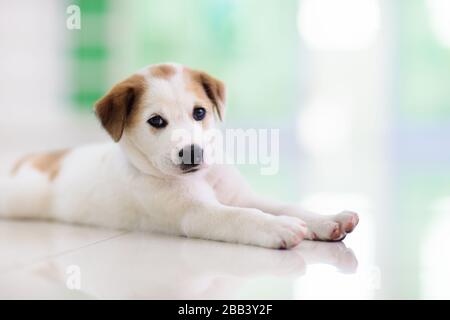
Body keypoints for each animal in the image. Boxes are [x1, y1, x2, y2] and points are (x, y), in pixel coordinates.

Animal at [0, 62, 358, 248]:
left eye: (199, 112)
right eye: (156, 121)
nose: (192, 153)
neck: (205, 178)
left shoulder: (241, 196)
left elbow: (282, 205)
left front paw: (327, 219)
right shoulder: (197, 213)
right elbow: (242, 216)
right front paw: (278, 227)